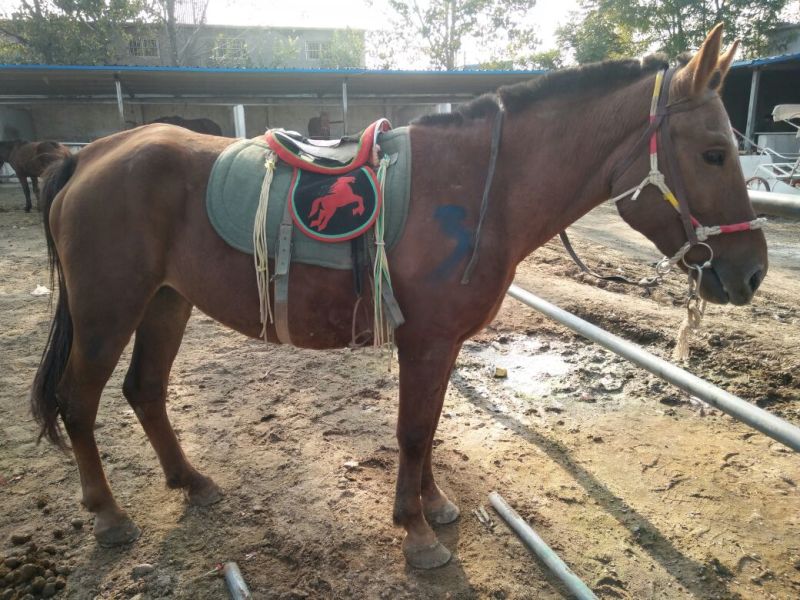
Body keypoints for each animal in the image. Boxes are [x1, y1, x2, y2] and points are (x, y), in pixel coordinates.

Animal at [31, 25, 767, 569]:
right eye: (712, 153)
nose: (754, 272)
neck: (474, 190)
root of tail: (89, 154)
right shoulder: (426, 341)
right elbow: (413, 430)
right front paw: (416, 534)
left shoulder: (441, 346)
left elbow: (431, 426)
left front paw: (434, 507)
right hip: (107, 312)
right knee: (79, 401)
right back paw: (109, 516)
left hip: (165, 303)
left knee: (145, 391)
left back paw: (191, 481)